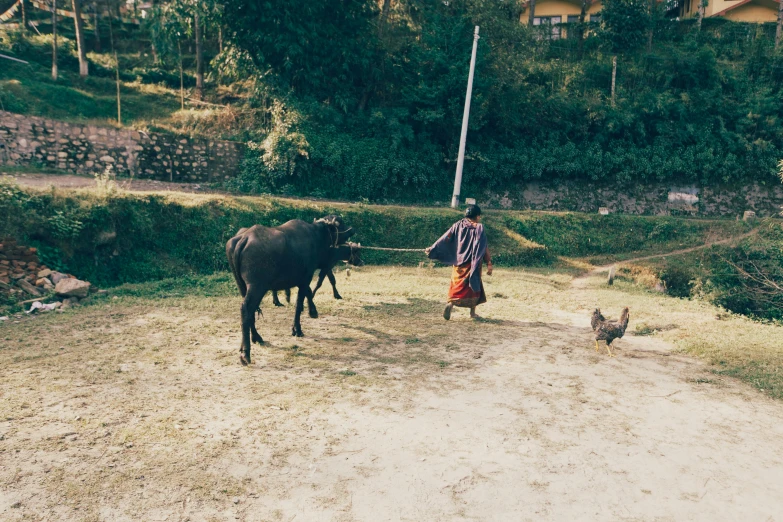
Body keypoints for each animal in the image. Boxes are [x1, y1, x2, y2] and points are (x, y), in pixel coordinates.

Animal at [227, 215, 362, 366]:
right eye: (340, 224)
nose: (352, 229)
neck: (316, 237)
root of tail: (244, 238)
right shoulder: (306, 277)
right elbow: (299, 303)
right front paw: (297, 328)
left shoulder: (303, 279)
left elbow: (307, 294)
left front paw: (311, 311)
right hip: (257, 287)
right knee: (246, 309)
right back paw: (246, 353)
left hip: (243, 286)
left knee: (251, 311)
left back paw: (257, 337)